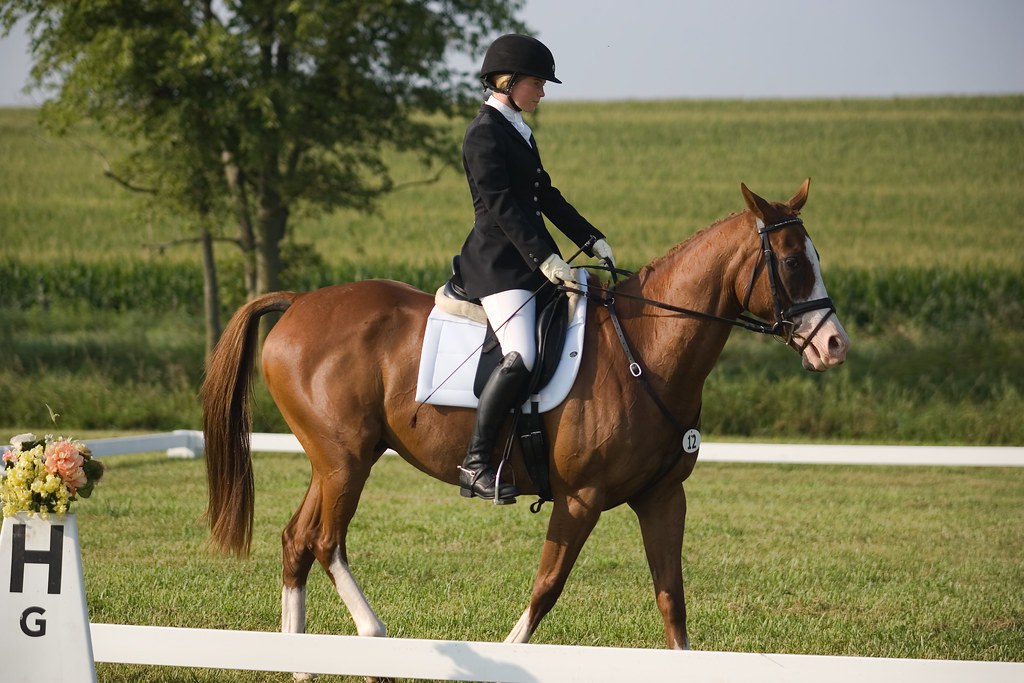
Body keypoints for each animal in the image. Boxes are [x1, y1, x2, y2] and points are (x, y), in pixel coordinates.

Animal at [202, 179, 849, 659]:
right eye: (793, 261)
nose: (835, 346)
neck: (646, 348)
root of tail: (298, 303)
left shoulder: (664, 497)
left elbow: (673, 602)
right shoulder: (582, 497)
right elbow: (546, 589)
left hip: (334, 460)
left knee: (297, 540)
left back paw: (299, 661)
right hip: (347, 460)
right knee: (326, 540)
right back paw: (373, 633)